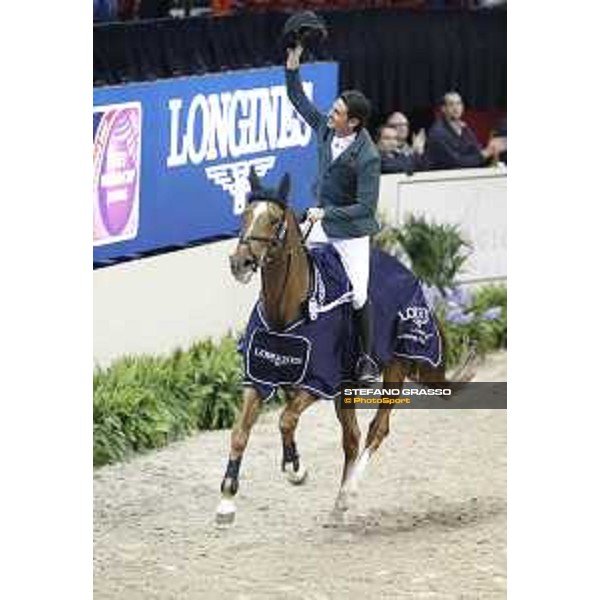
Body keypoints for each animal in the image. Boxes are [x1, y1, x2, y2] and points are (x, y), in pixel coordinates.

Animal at [216, 170, 474, 524]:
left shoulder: (317, 383)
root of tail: (407, 273)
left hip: (395, 366)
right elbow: (240, 432)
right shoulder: (259, 377)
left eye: (274, 220)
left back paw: (349, 492)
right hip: (347, 384)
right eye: (244, 214)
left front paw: (296, 470)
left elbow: (285, 420)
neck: (288, 309)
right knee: (351, 438)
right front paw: (226, 501)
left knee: (377, 429)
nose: (239, 263)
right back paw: (339, 503)